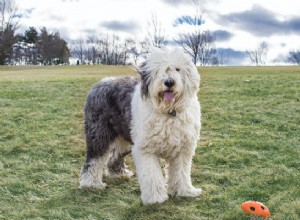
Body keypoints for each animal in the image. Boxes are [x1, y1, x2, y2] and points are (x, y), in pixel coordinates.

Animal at [79, 46, 202, 205]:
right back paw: (91, 184)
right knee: (94, 159)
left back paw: (119, 174)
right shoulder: (146, 149)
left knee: (114, 155)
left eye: (177, 69)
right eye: (158, 70)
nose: (169, 82)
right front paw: (155, 198)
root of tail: (99, 83)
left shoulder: (182, 148)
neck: (168, 112)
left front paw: (184, 191)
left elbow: (181, 172)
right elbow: (152, 175)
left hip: (125, 137)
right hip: (99, 133)